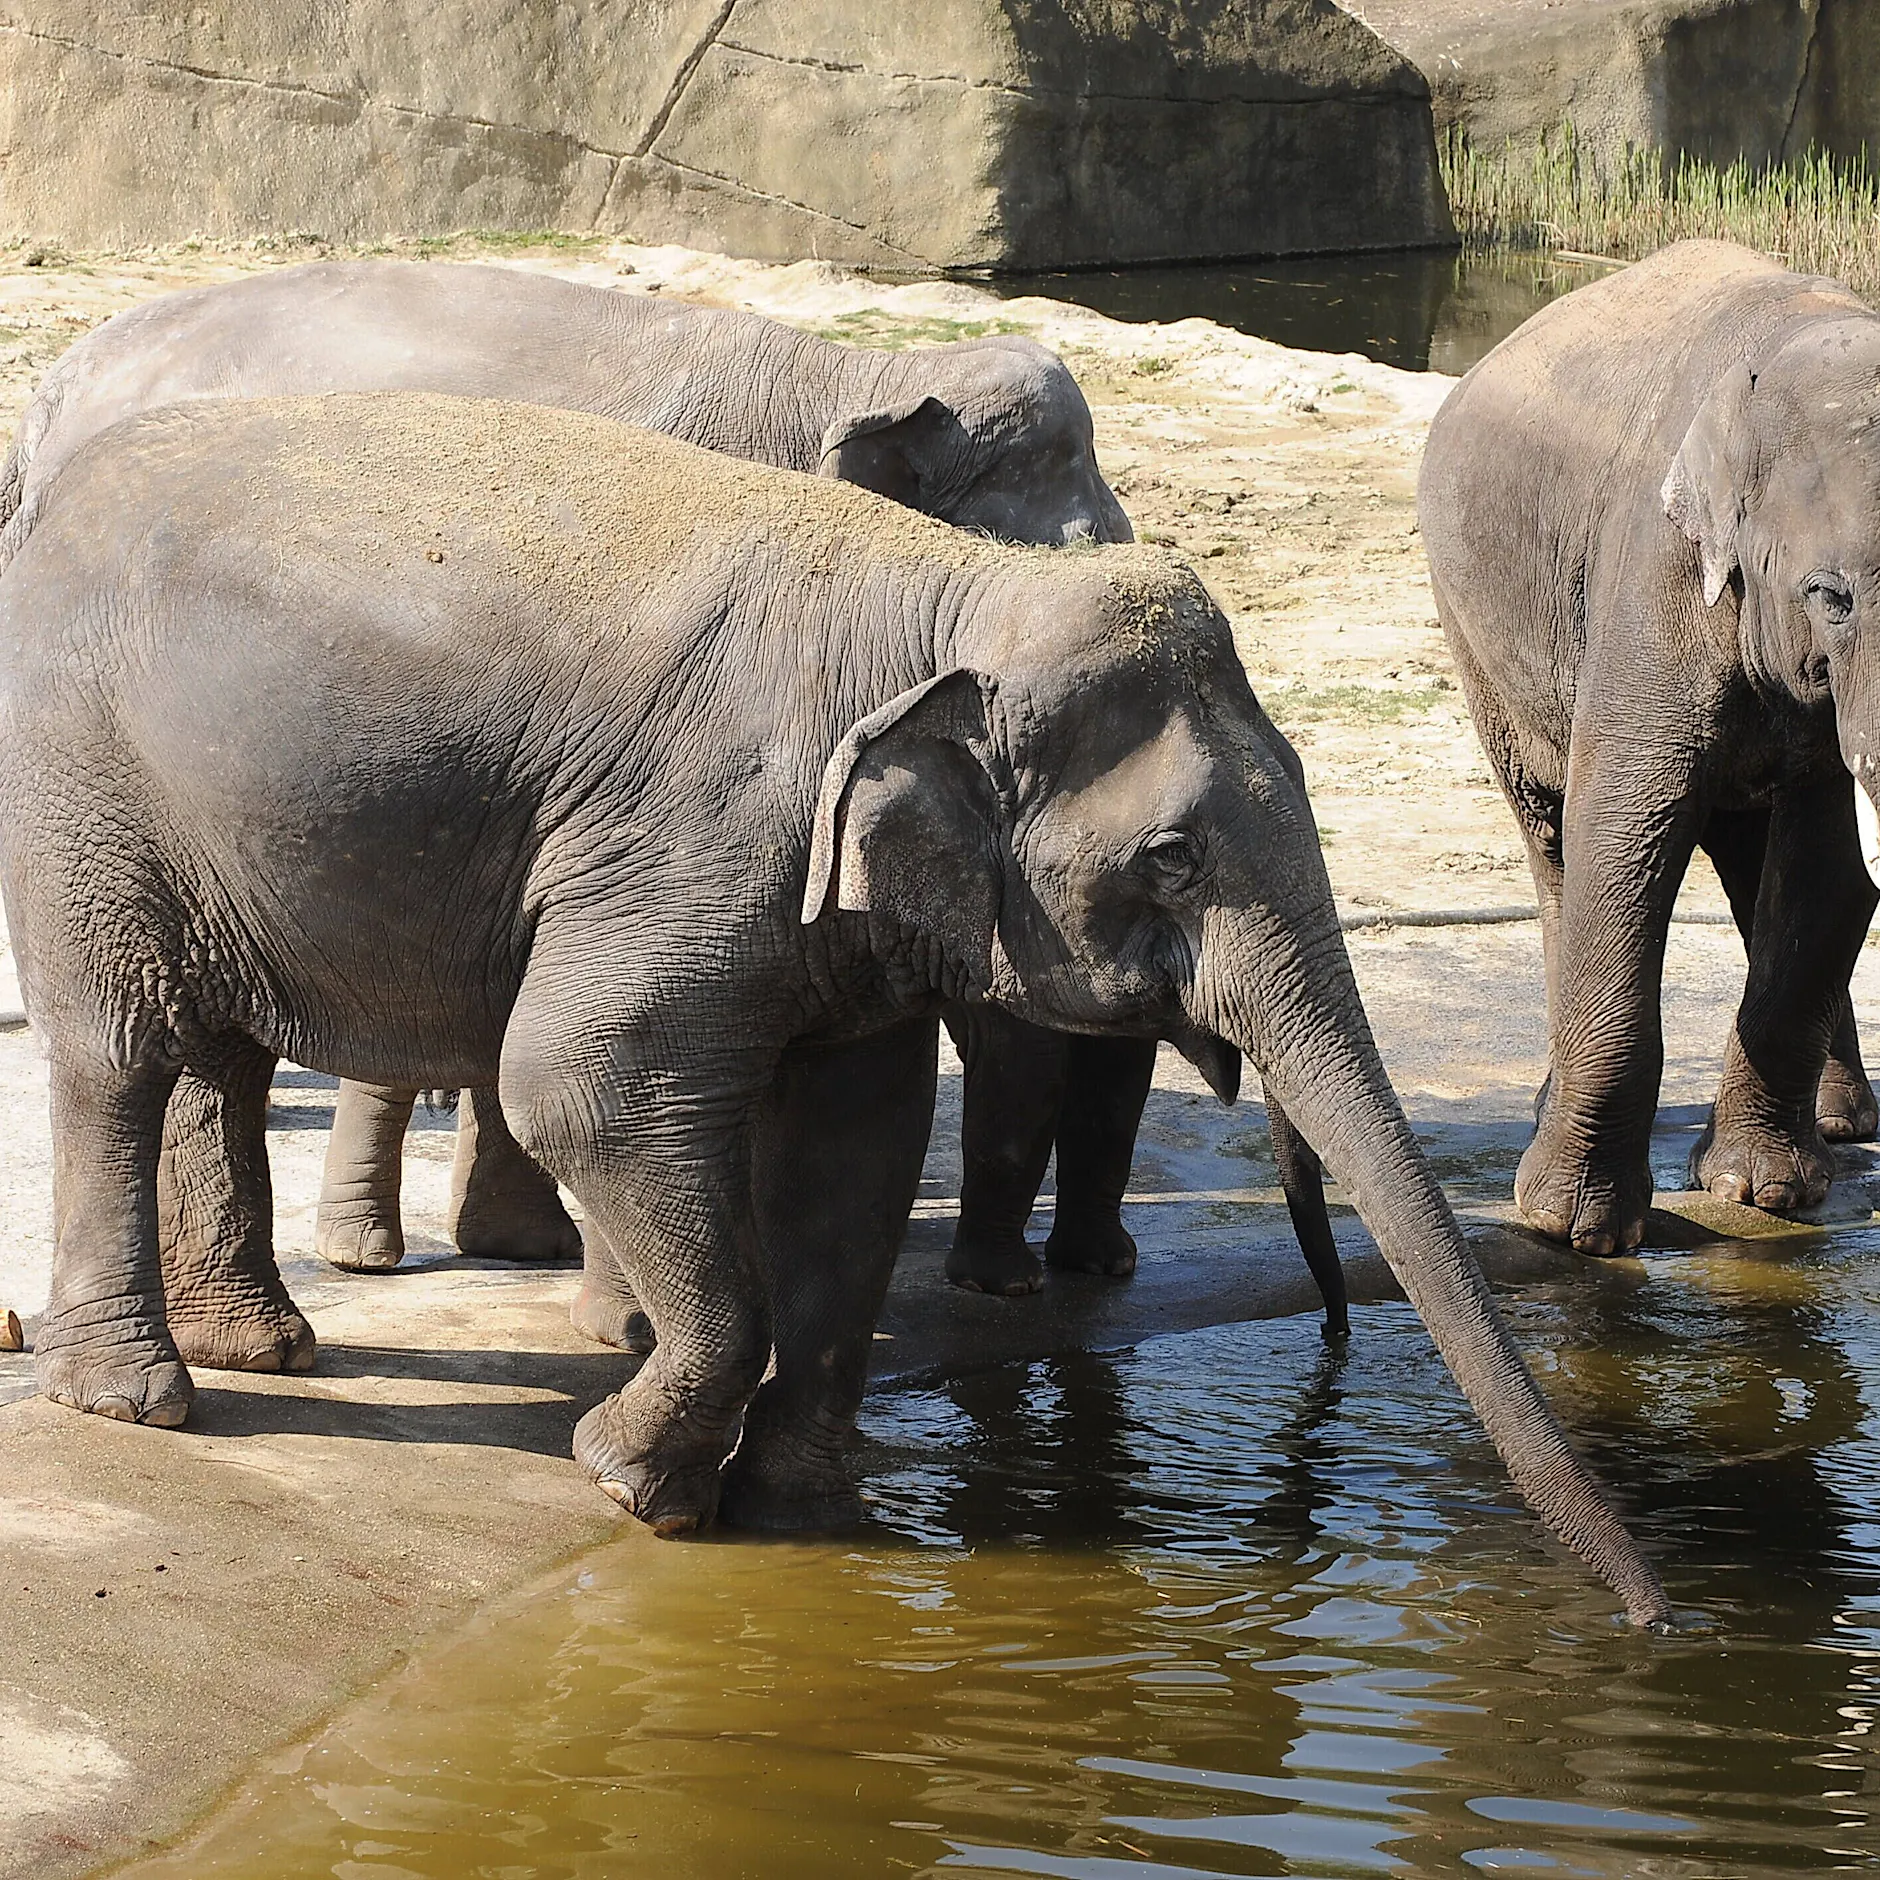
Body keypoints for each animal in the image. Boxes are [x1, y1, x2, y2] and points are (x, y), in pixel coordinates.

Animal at [0, 390, 1667, 1623]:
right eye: (1174, 858)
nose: (1661, 1627)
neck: (950, 595)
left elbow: (860, 1142)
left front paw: (800, 1503)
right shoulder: (697, 837)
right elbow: (582, 1085)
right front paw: (631, 1483)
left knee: (212, 1054)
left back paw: (258, 1347)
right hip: (80, 778)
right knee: (120, 1050)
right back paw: (142, 1401)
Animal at [1420, 240, 1880, 1254]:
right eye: (1832, 596)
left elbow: (1827, 874)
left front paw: (1764, 1191)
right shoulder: (1653, 572)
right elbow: (1626, 833)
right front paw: (1575, 1230)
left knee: (1757, 861)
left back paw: (1841, 1131)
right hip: (1480, 639)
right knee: (1557, 844)